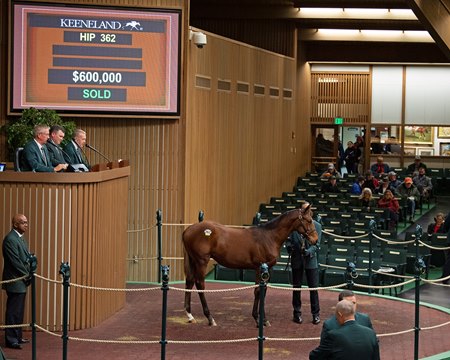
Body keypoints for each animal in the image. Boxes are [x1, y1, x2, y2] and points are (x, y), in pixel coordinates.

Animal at [181, 202, 318, 326]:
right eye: (309, 220)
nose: (315, 239)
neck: (269, 237)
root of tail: (188, 230)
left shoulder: (266, 269)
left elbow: (262, 291)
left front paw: (262, 319)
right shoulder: (259, 268)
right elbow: (258, 291)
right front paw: (259, 319)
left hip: (193, 260)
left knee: (190, 281)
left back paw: (190, 315)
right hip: (201, 261)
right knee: (200, 285)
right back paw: (210, 318)